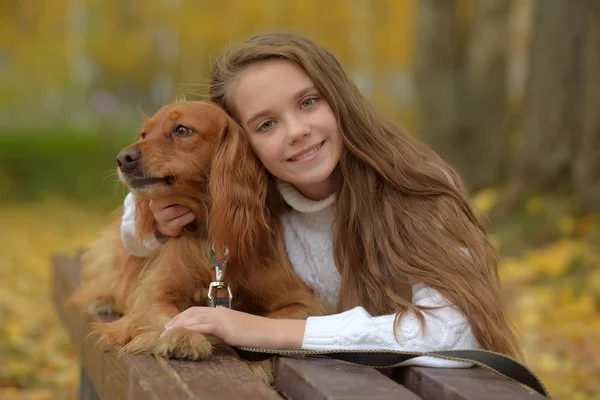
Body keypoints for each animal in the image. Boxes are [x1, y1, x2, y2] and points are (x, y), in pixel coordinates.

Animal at [72, 101, 332, 382]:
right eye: (144, 134)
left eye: (182, 130)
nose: (123, 158)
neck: (210, 231)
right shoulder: (153, 294)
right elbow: (167, 317)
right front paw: (184, 336)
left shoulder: (305, 303)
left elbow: (266, 323)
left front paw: (254, 361)